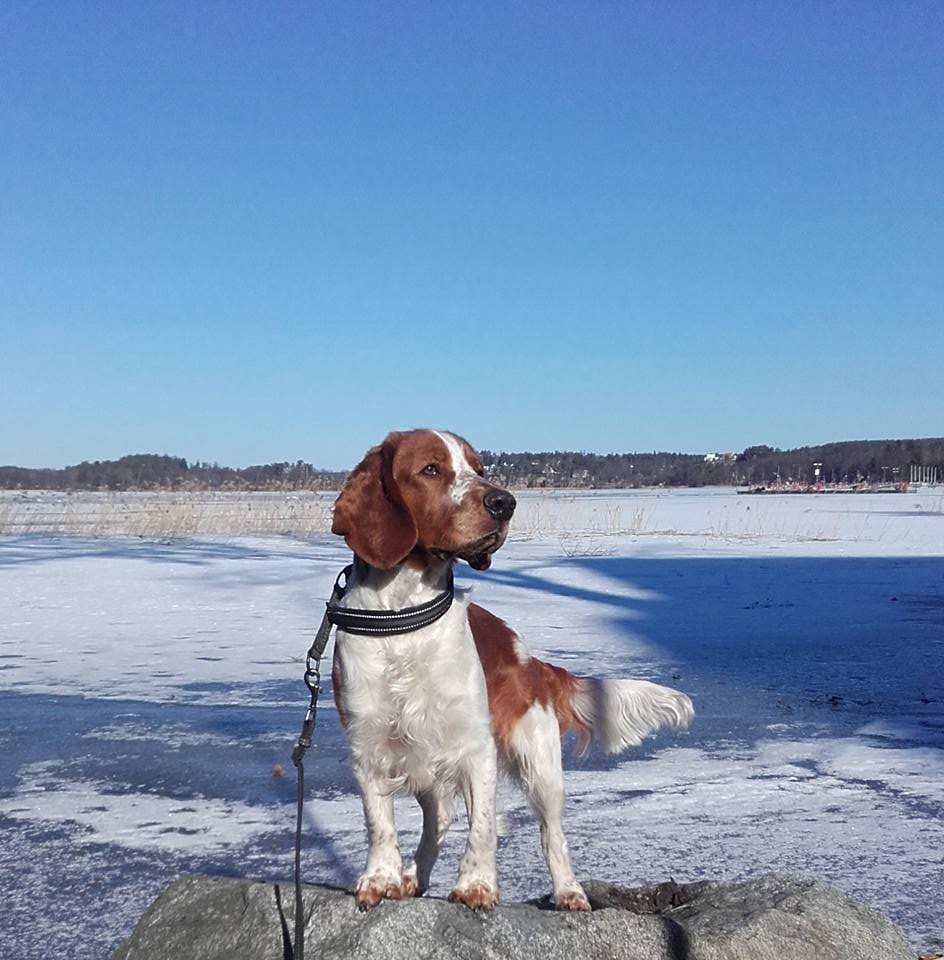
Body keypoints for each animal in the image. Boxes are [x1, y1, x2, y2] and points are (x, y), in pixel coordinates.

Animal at [330, 428, 693, 911]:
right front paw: (381, 878)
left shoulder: (475, 746)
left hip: (539, 764)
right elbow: (379, 822)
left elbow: (483, 827)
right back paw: (412, 876)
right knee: (439, 818)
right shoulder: (368, 744)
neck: (405, 619)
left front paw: (477, 885)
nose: (504, 502)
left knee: (551, 835)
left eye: (479, 468)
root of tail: (530, 658)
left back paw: (570, 892)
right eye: (431, 469)